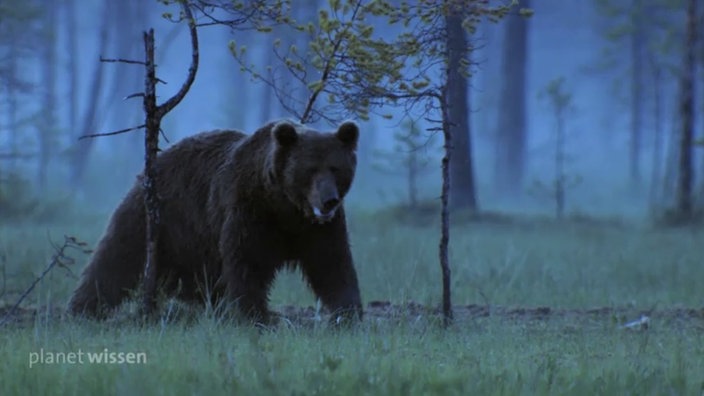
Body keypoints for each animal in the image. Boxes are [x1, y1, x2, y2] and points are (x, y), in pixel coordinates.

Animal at [67, 119, 364, 324]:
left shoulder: (317, 229)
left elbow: (332, 264)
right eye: (310, 169)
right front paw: (255, 315)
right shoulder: (249, 209)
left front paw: (349, 313)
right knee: (116, 256)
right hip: (160, 215)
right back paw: (83, 308)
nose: (328, 200)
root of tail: (156, 160)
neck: (284, 206)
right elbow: (247, 262)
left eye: (336, 168)